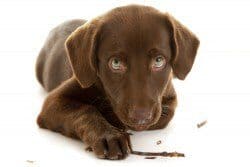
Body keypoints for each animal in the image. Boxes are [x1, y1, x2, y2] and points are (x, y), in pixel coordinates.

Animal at [35, 4, 199, 160]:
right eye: (115, 63)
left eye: (159, 61)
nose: (141, 117)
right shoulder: (53, 101)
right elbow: (85, 111)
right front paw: (109, 135)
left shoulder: (169, 97)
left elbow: (165, 115)